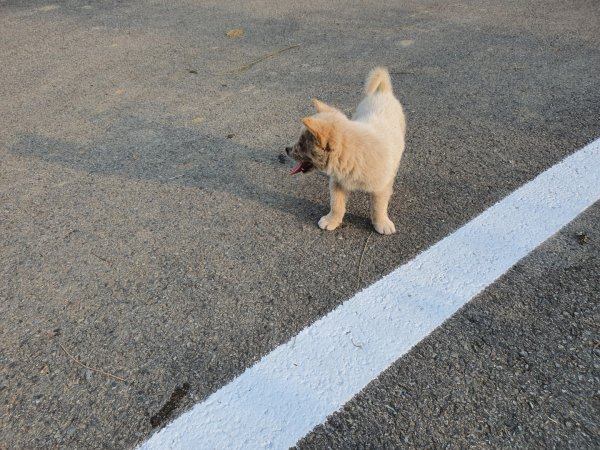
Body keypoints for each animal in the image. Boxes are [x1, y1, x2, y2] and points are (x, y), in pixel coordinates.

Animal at [286, 68, 408, 236]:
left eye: (301, 144)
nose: (286, 149)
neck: (353, 156)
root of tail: (382, 92)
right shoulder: (337, 183)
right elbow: (336, 205)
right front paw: (332, 221)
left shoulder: (380, 187)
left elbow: (379, 207)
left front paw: (382, 223)